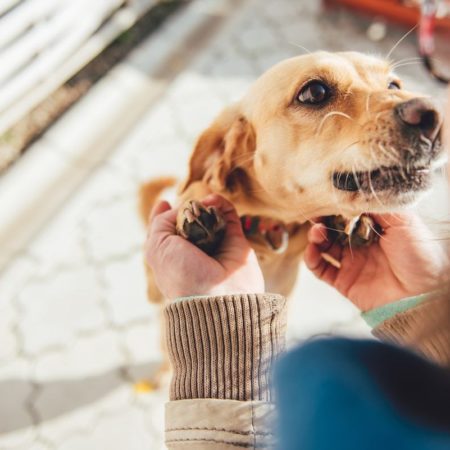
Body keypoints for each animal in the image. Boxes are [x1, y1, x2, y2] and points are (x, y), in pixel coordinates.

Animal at [141, 51, 442, 306]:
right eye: (314, 92)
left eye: (394, 85)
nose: (434, 117)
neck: (270, 225)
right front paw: (199, 230)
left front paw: (352, 221)